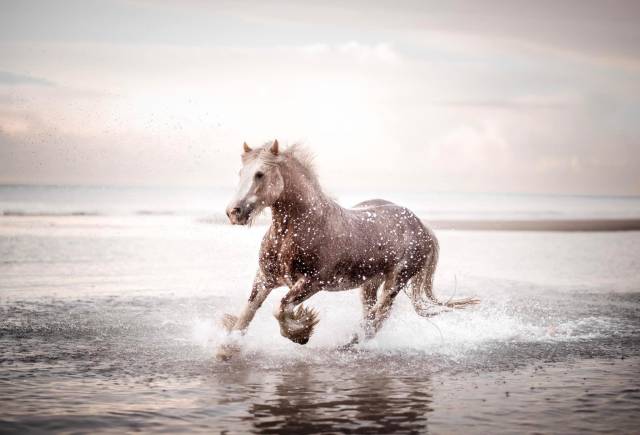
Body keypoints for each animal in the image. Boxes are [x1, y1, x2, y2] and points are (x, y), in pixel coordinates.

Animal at [218, 141, 478, 360]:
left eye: (260, 174)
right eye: (240, 173)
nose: (234, 212)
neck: (298, 228)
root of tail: (422, 225)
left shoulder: (312, 282)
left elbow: (280, 309)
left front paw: (302, 332)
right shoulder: (265, 278)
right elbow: (247, 313)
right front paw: (227, 348)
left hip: (396, 281)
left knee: (377, 318)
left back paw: (350, 344)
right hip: (369, 283)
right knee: (371, 315)